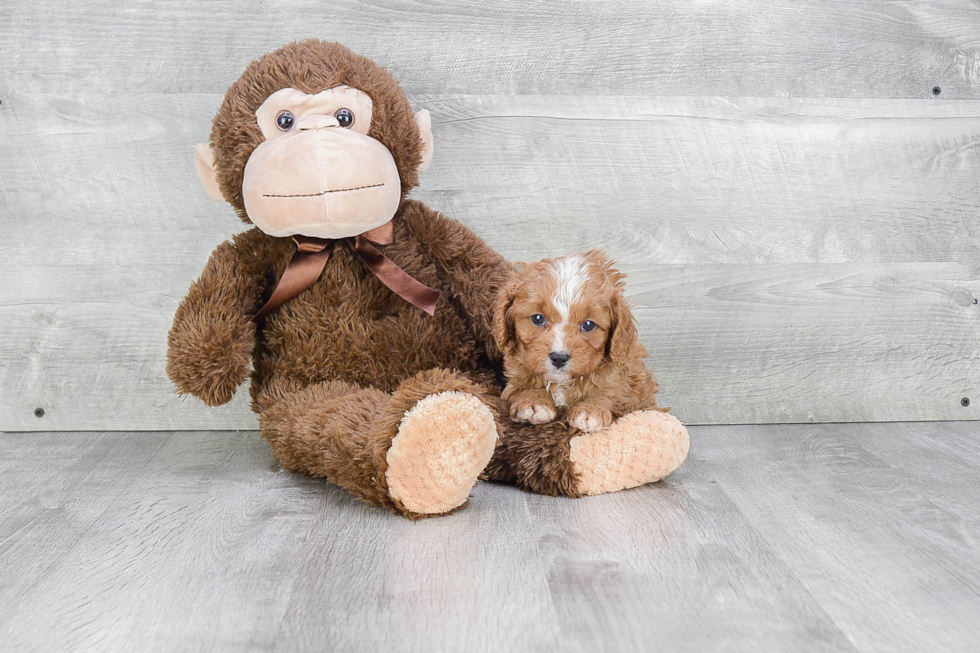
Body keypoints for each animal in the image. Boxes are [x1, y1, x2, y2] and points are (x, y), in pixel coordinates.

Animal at [494, 250, 664, 432]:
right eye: (538, 319)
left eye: (588, 325)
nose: (559, 358)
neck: (563, 382)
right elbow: (522, 386)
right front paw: (534, 401)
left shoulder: (631, 387)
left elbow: (611, 393)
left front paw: (591, 409)